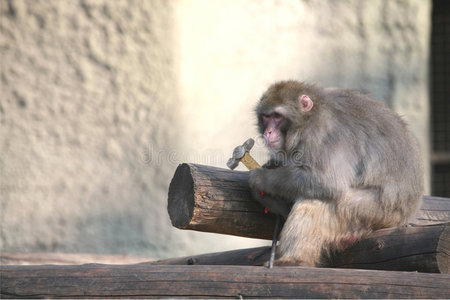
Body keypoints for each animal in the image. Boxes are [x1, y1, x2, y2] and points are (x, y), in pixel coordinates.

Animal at [248, 80, 424, 268]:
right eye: (266, 117)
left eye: (277, 116)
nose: (268, 132)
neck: (308, 118)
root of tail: (407, 213)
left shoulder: (324, 135)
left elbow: (328, 182)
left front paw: (260, 178)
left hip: (375, 210)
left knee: (317, 199)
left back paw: (294, 261)